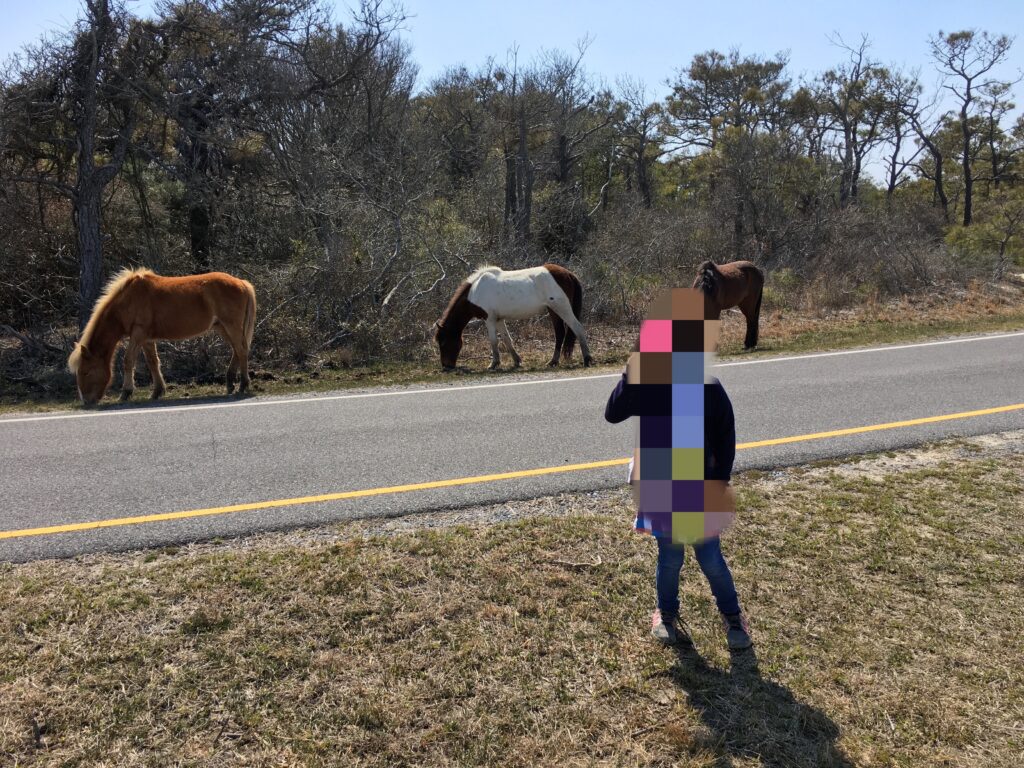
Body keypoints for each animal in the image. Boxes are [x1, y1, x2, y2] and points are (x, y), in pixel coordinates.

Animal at [67, 268, 256, 405]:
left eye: (86, 372)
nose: (86, 402)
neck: (128, 300)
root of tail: (242, 282)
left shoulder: (138, 334)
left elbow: (129, 361)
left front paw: (126, 393)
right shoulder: (147, 339)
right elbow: (153, 362)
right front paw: (157, 391)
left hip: (231, 326)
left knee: (241, 350)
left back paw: (243, 384)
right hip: (222, 327)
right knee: (237, 350)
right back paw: (230, 383)